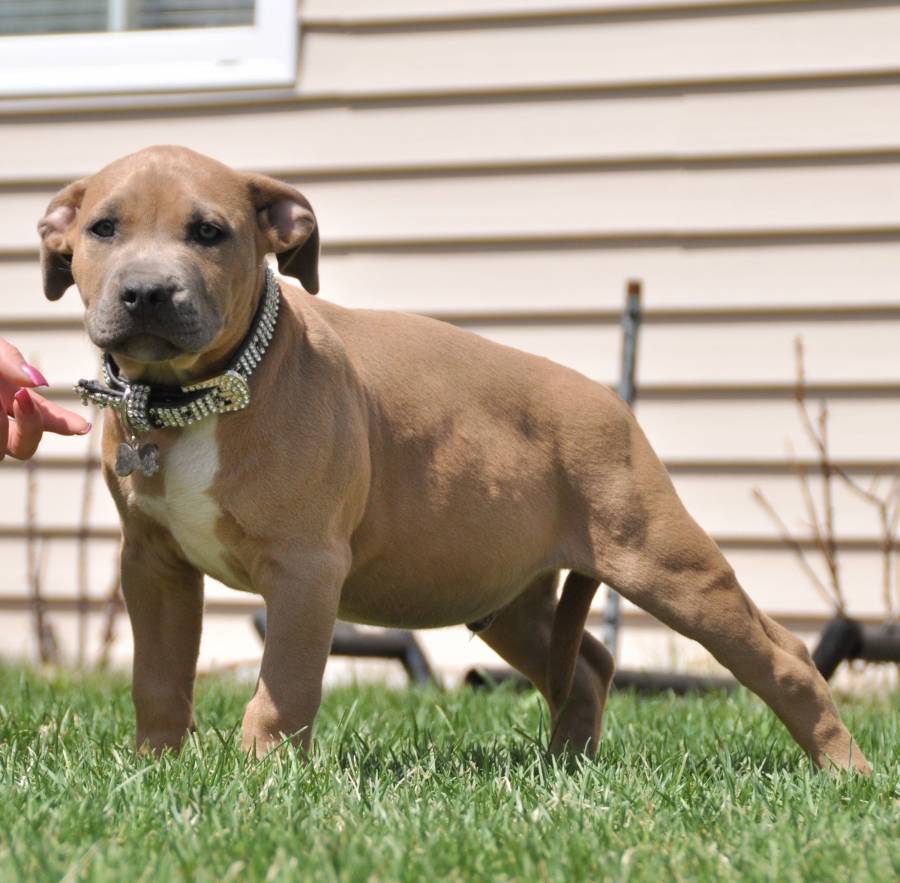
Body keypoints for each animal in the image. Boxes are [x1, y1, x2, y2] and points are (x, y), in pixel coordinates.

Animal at [37, 146, 870, 773]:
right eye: (103, 228)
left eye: (210, 231)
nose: (147, 293)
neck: (195, 398)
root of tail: (610, 403)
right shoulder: (153, 563)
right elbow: (159, 675)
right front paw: (156, 767)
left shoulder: (306, 569)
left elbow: (285, 685)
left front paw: (261, 777)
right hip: (507, 592)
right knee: (588, 662)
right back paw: (565, 767)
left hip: (668, 564)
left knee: (783, 655)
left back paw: (844, 770)